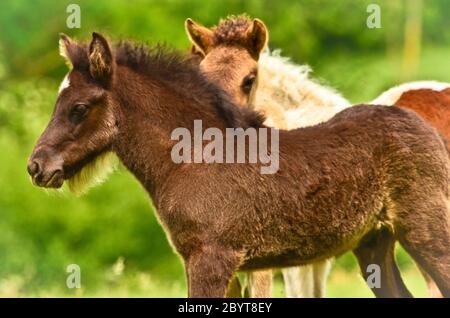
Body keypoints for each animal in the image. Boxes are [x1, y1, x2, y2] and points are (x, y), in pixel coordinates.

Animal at [28, 33, 450, 296]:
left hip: (427, 231)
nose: (36, 166)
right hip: (373, 244)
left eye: (79, 107)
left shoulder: (211, 261)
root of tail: (426, 127)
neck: (195, 157)